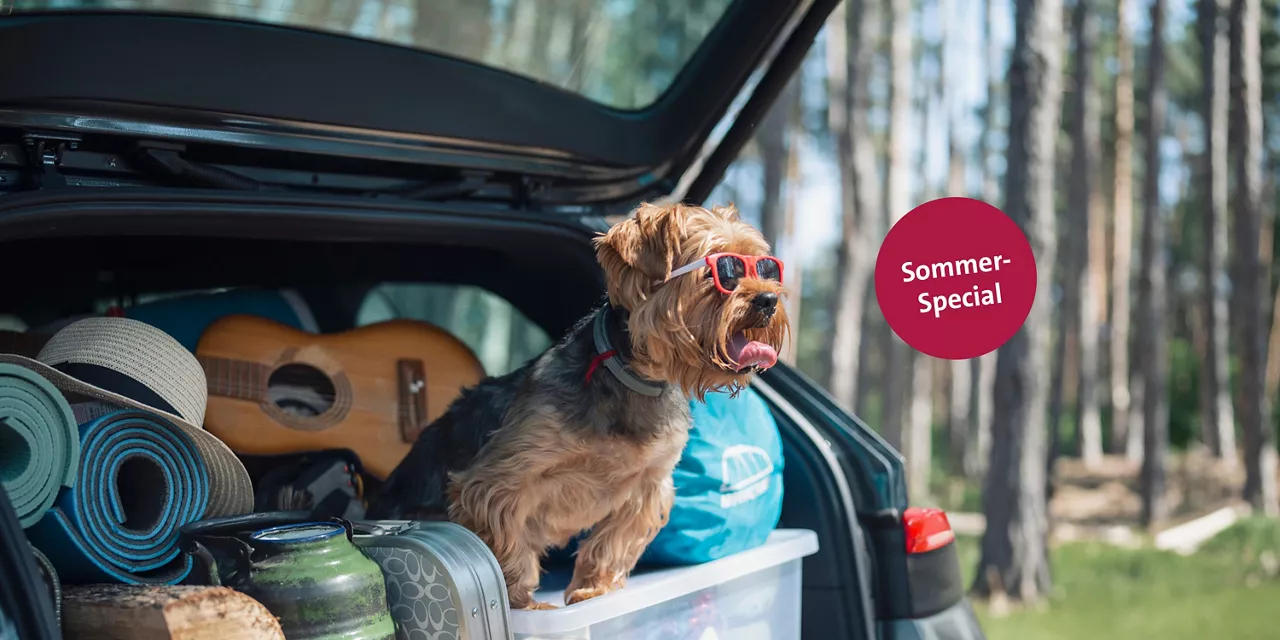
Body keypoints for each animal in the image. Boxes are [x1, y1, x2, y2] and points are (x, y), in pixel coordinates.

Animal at [366, 200, 788, 609]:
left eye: (766, 268)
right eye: (723, 270)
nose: (769, 299)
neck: (634, 378)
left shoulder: (648, 484)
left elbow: (613, 541)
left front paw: (593, 590)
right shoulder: (501, 479)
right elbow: (506, 541)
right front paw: (523, 602)